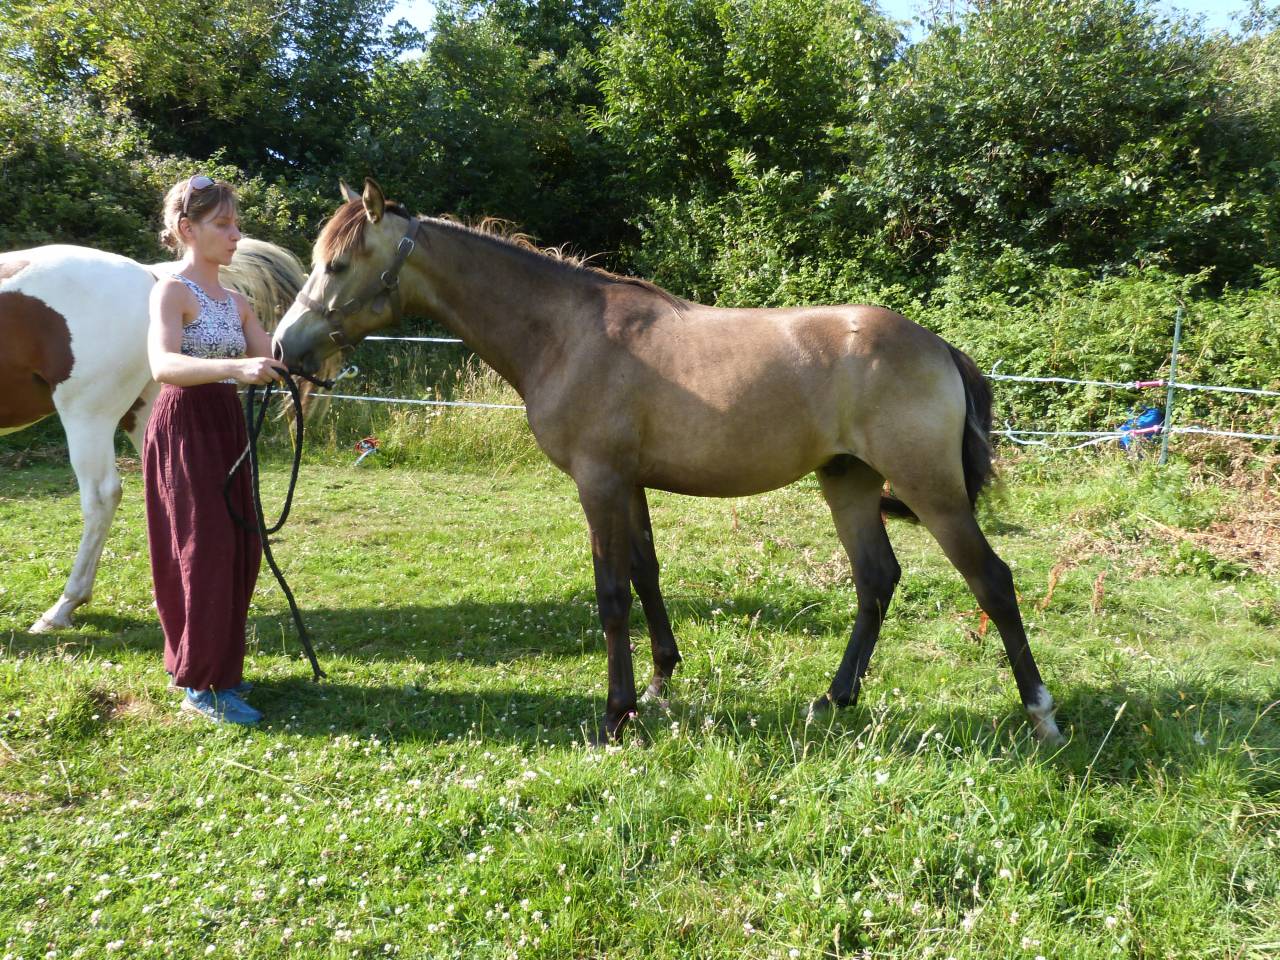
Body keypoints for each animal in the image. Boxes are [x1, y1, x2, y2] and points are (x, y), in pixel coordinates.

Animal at [273, 178, 1065, 746]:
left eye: (337, 264)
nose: (284, 347)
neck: (567, 333)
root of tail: (938, 346)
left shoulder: (598, 483)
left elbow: (611, 593)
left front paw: (614, 714)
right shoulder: (629, 485)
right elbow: (646, 575)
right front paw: (657, 686)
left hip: (933, 493)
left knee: (993, 582)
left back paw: (1041, 713)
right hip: (847, 483)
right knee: (876, 581)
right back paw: (833, 699)